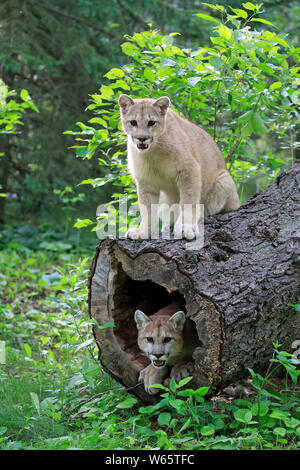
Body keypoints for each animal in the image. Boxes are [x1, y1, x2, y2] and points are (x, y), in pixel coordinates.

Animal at [118, 94, 238, 241]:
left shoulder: (189, 169)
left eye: (151, 122)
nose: (142, 138)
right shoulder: (145, 180)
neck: (152, 153)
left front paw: (185, 228)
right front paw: (144, 232)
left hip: (224, 180)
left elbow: (188, 200)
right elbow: (147, 208)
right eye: (133, 122)